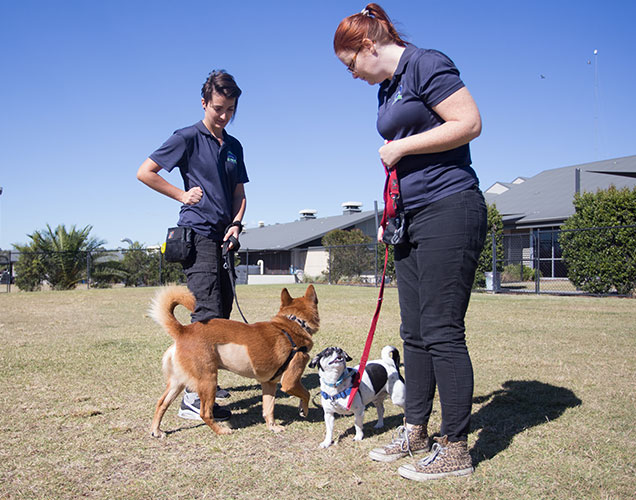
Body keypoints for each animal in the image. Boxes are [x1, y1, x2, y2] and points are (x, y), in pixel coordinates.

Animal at [149, 286, 318, 438]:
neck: (294, 324)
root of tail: (183, 331)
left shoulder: (269, 383)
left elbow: (268, 409)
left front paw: (273, 427)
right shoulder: (290, 383)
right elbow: (307, 394)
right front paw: (304, 410)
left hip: (177, 383)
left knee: (161, 403)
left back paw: (156, 431)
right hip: (208, 381)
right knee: (205, 413)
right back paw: (221, 430)